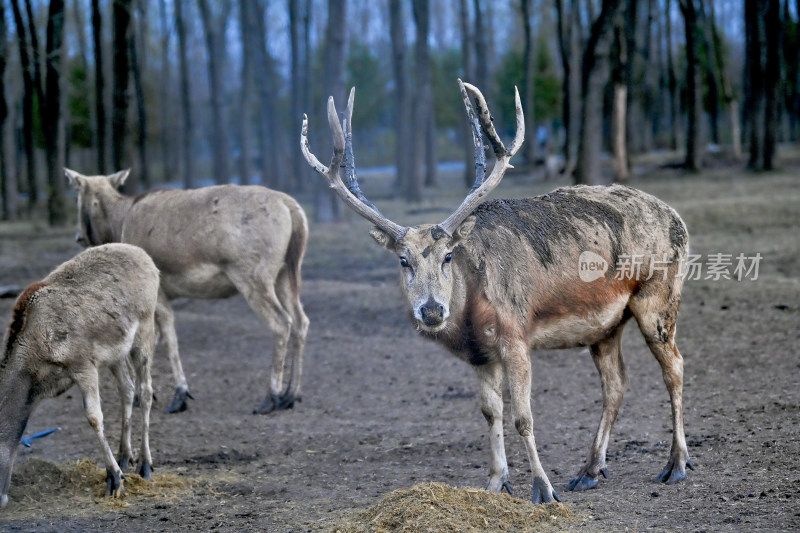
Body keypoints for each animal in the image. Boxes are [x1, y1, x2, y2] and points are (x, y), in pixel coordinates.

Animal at [0, 242, 159, 508]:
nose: (1, 498)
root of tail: (148, 259)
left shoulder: (83, 364)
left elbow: (94, 417)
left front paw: (114, 479)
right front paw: (117, 470)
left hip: (145, 328)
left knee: (146, 391)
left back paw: (145, 464)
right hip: (116, 353)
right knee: (127, 388)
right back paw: (125, 455)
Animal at [66, 168, 310, 414]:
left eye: (76, 197)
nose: (78, 236)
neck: (119, 225)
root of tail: (293, 210)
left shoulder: (157, 295)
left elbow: (166, 339)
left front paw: (178, 395)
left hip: (252, 275)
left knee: (281, 322)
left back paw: (271, 397)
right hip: (287, 272)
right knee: (301, 320)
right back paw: (292, 394)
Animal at [304, 82, 692, 502]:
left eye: (448, 255)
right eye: (403, 260)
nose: (432, 311)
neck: (472, 315)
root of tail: (678, 218)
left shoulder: (516, 336)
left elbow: (523, 417)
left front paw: (543, 489)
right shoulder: (480, 355)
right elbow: (492, 413)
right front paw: (495, 483)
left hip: (660, 296)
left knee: (674, 367)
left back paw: (676, 464)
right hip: (605, 325)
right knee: (617, 383)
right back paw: (589, 470)